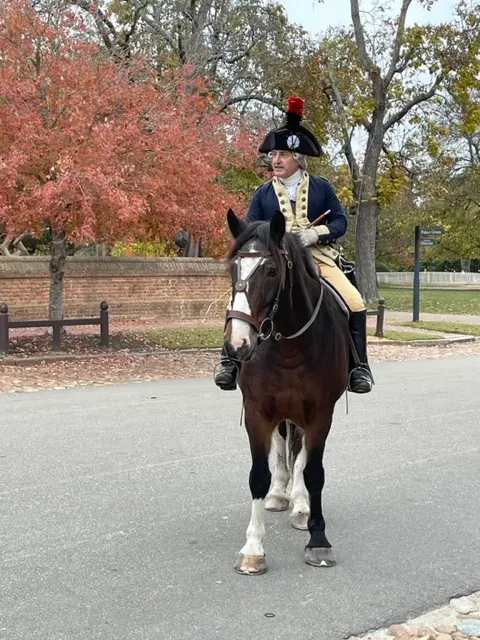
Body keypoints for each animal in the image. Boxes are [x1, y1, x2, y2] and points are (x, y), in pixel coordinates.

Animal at [223, 209, 350, 576]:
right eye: (232, 267)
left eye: (271, 271)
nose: (237, 344)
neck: (289, 346)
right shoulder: (257, 412)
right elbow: (258, 476)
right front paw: (253, 548)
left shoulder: (321, 413)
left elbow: (314, 472)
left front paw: (318, 539)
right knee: (283, 446)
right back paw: (281, 493)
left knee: (301, 453)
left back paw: (300, 504)